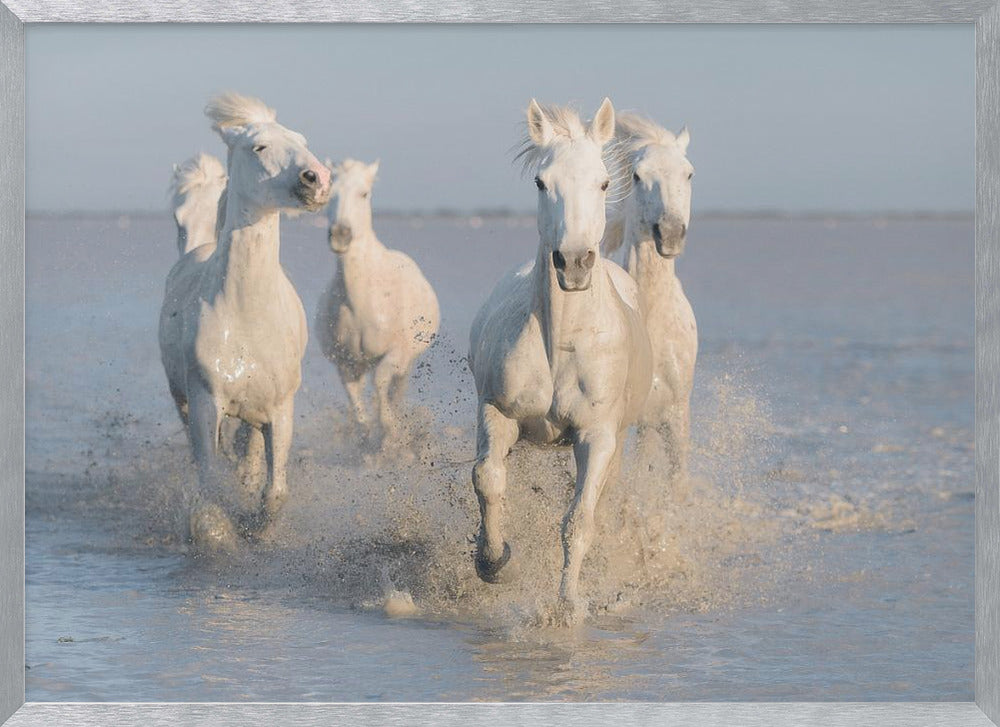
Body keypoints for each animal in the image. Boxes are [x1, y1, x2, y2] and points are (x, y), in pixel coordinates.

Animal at [158, 92, 331, 552]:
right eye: (259, 146)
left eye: (301, 139)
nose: (318, 179)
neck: (246, 316)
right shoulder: (205, 402)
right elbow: (209, 489)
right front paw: (220, 533)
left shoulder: (280, 409)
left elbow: (274, 492)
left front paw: (257, 526)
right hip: (182, 399)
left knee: (249, 449)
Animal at [314, 159, 440, 451]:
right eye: (329, 193)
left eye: (364, 194)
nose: (340, 235)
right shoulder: (346, 363)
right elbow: (357, 403)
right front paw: (366, 438)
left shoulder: (397, 354)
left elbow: (382, 382)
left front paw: (390, 434)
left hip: (407, 362)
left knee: (396, 389)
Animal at [468, 99, 653, 622]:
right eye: (540, 182)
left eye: (604, 182)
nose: (573, 263)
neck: (563, 344)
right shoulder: (497, 412)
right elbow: (488, 479)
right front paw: (494, 562)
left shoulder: (597, 435)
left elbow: (578, 519)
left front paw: (568, 605)